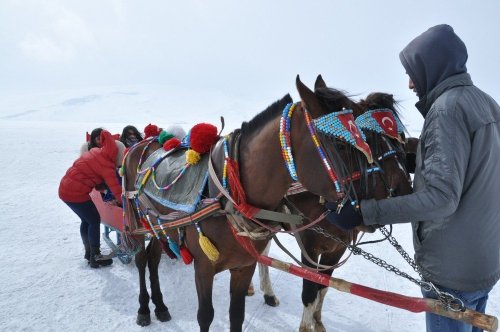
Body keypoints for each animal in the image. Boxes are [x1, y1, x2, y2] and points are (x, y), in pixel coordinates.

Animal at [123, 76, 392, 332]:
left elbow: (237, 316)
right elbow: (205, 316)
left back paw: (160, 306)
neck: (229, 198)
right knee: (141, 259)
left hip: (159, 228)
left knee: (154, 258)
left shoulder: (245, 266)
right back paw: (144, 309)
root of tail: (144, 142)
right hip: (137, 223)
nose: (377, 204)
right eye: (340, 144)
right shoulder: (204, 268)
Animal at [250, 77, 414, 330]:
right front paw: (306, 325)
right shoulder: (309, 246)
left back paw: (267, 292)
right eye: (369, 140)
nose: (405, 190)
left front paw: (317, 321)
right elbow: (309, 292)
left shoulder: (337, 248)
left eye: (400, 140)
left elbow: (323, 286)